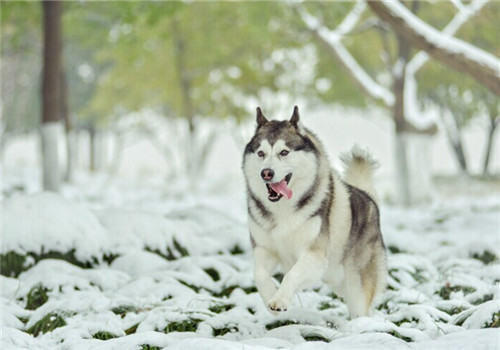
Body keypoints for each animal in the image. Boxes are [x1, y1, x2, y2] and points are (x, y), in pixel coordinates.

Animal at [242, 105, 386, 318]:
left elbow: (292, 274)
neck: (283, 209)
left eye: (284, 152)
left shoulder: (314, 255)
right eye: (261, 153)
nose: (266, 173)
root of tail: (369, 198)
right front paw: (270, 297)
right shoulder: (264, 249)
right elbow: (258, 274)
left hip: (356, 286)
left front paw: (279, 300)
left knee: (360, 308)